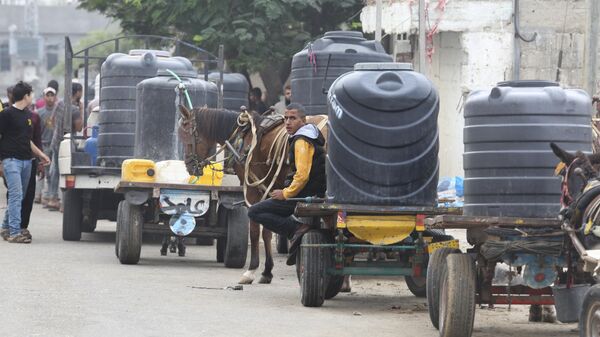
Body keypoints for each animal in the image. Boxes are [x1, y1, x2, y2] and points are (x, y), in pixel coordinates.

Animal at [177, 105, 328, 284]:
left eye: (185, 134)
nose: (189, 165)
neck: (244, 135)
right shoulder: (268, 190)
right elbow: (267, 232)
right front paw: (267, 271)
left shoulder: (252, 190)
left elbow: (255, 230)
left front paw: (251, 270)